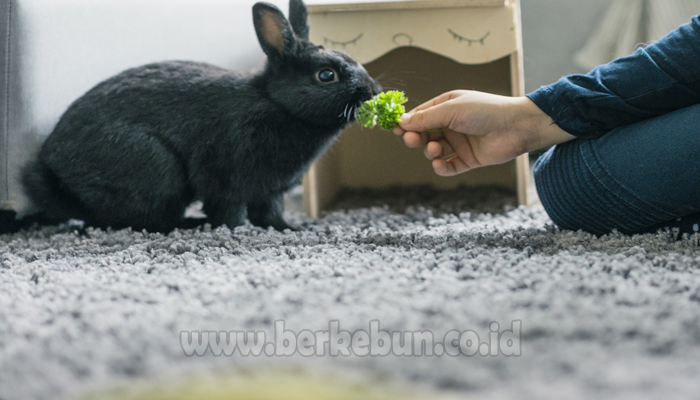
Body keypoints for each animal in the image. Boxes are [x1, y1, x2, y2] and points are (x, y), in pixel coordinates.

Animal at [21, 0, 380, 231]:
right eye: (326, 75)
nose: (373, 91)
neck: (277, 103)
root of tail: (52, 167)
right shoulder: (224, 176)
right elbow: (231, 213)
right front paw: (235, 230)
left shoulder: (270, 191)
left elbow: (270, 214)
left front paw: (292, 229)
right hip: (157, 170)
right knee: (138, 220)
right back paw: (190, 223)